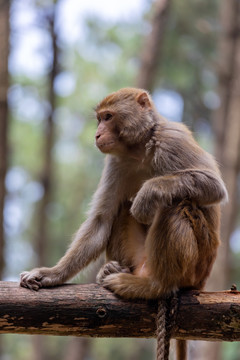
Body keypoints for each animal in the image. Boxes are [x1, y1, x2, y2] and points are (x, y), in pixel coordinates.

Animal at [20, 87, 227, 360]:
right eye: (99, 119)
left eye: (108, 117)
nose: (97, 134)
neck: (139, 148)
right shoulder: (115, 162)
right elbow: (102, 220)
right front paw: (51, 275)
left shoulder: (173, 139)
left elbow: (214, 186)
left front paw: (149, 193)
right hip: (141, 257)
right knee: (122, 209)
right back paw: (116, 269)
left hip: (195, 268)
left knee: (175, 203)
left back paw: (155, 285)